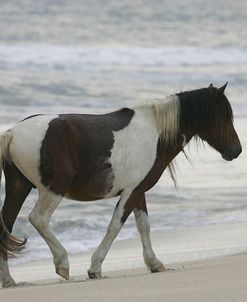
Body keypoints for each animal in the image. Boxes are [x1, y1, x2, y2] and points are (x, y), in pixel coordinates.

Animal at [0, 83, 241, 286]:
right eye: (224, 117)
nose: (236, 151)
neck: (155, 133)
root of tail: (12, 133)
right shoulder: (131, 192)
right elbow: (116, 225)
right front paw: (95, 267)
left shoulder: (138, 191)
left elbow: (143, 225)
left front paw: (154, 263)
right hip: (52, 191)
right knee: (38, 219)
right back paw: (62, 263)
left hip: (18, 188)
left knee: (6, 225)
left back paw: (8, 279)